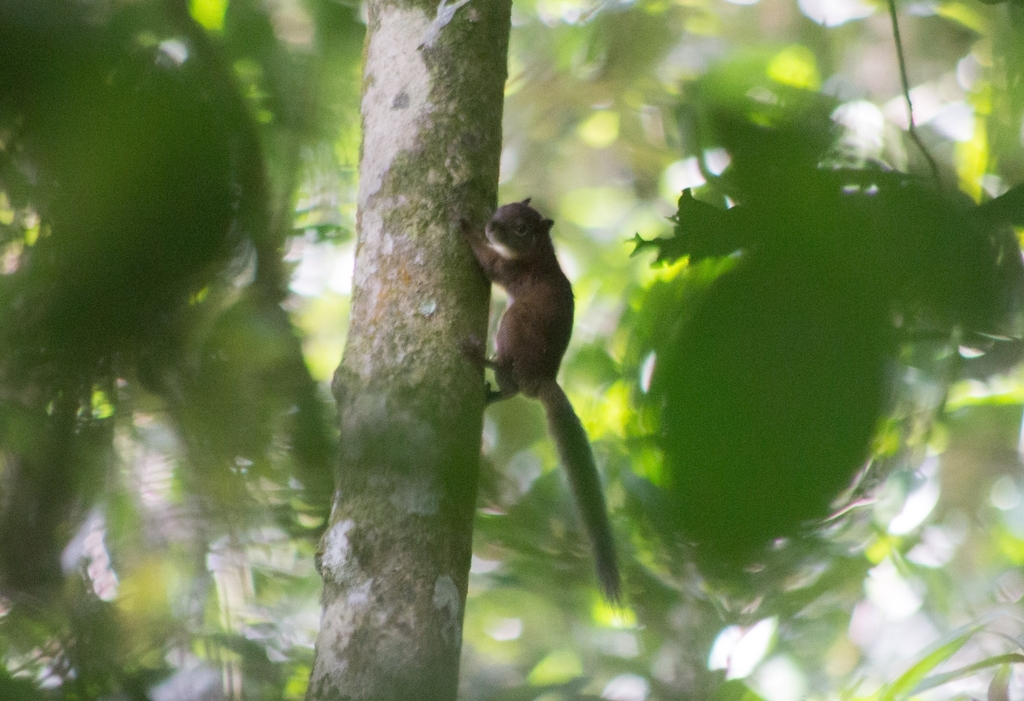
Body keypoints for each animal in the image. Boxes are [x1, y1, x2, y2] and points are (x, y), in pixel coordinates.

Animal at [461, 199, 621, 602]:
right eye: (502, 208)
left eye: (521, 228)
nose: (491, 226)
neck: (541, 254)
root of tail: (543, 380)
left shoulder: (512, 270)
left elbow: (489, 262)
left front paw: (465, 226)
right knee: (510, 389)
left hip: (513, 326)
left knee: (511, 376)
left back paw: (480, 359)